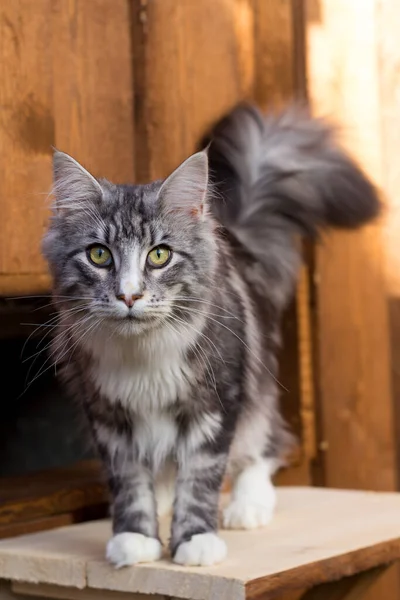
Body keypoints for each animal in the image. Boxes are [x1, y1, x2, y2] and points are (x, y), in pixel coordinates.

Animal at [42, 104, 380, 568]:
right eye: (98, 255)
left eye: (159, 255)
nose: (129, 295)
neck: (143, 354)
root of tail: (233, 236)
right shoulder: (109, 416)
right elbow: (131, 484)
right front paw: (136, 538)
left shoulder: (214, 406)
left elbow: (200, 480)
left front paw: (195, 541)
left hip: (256, 386)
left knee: (267, 441)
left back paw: (249, 505)